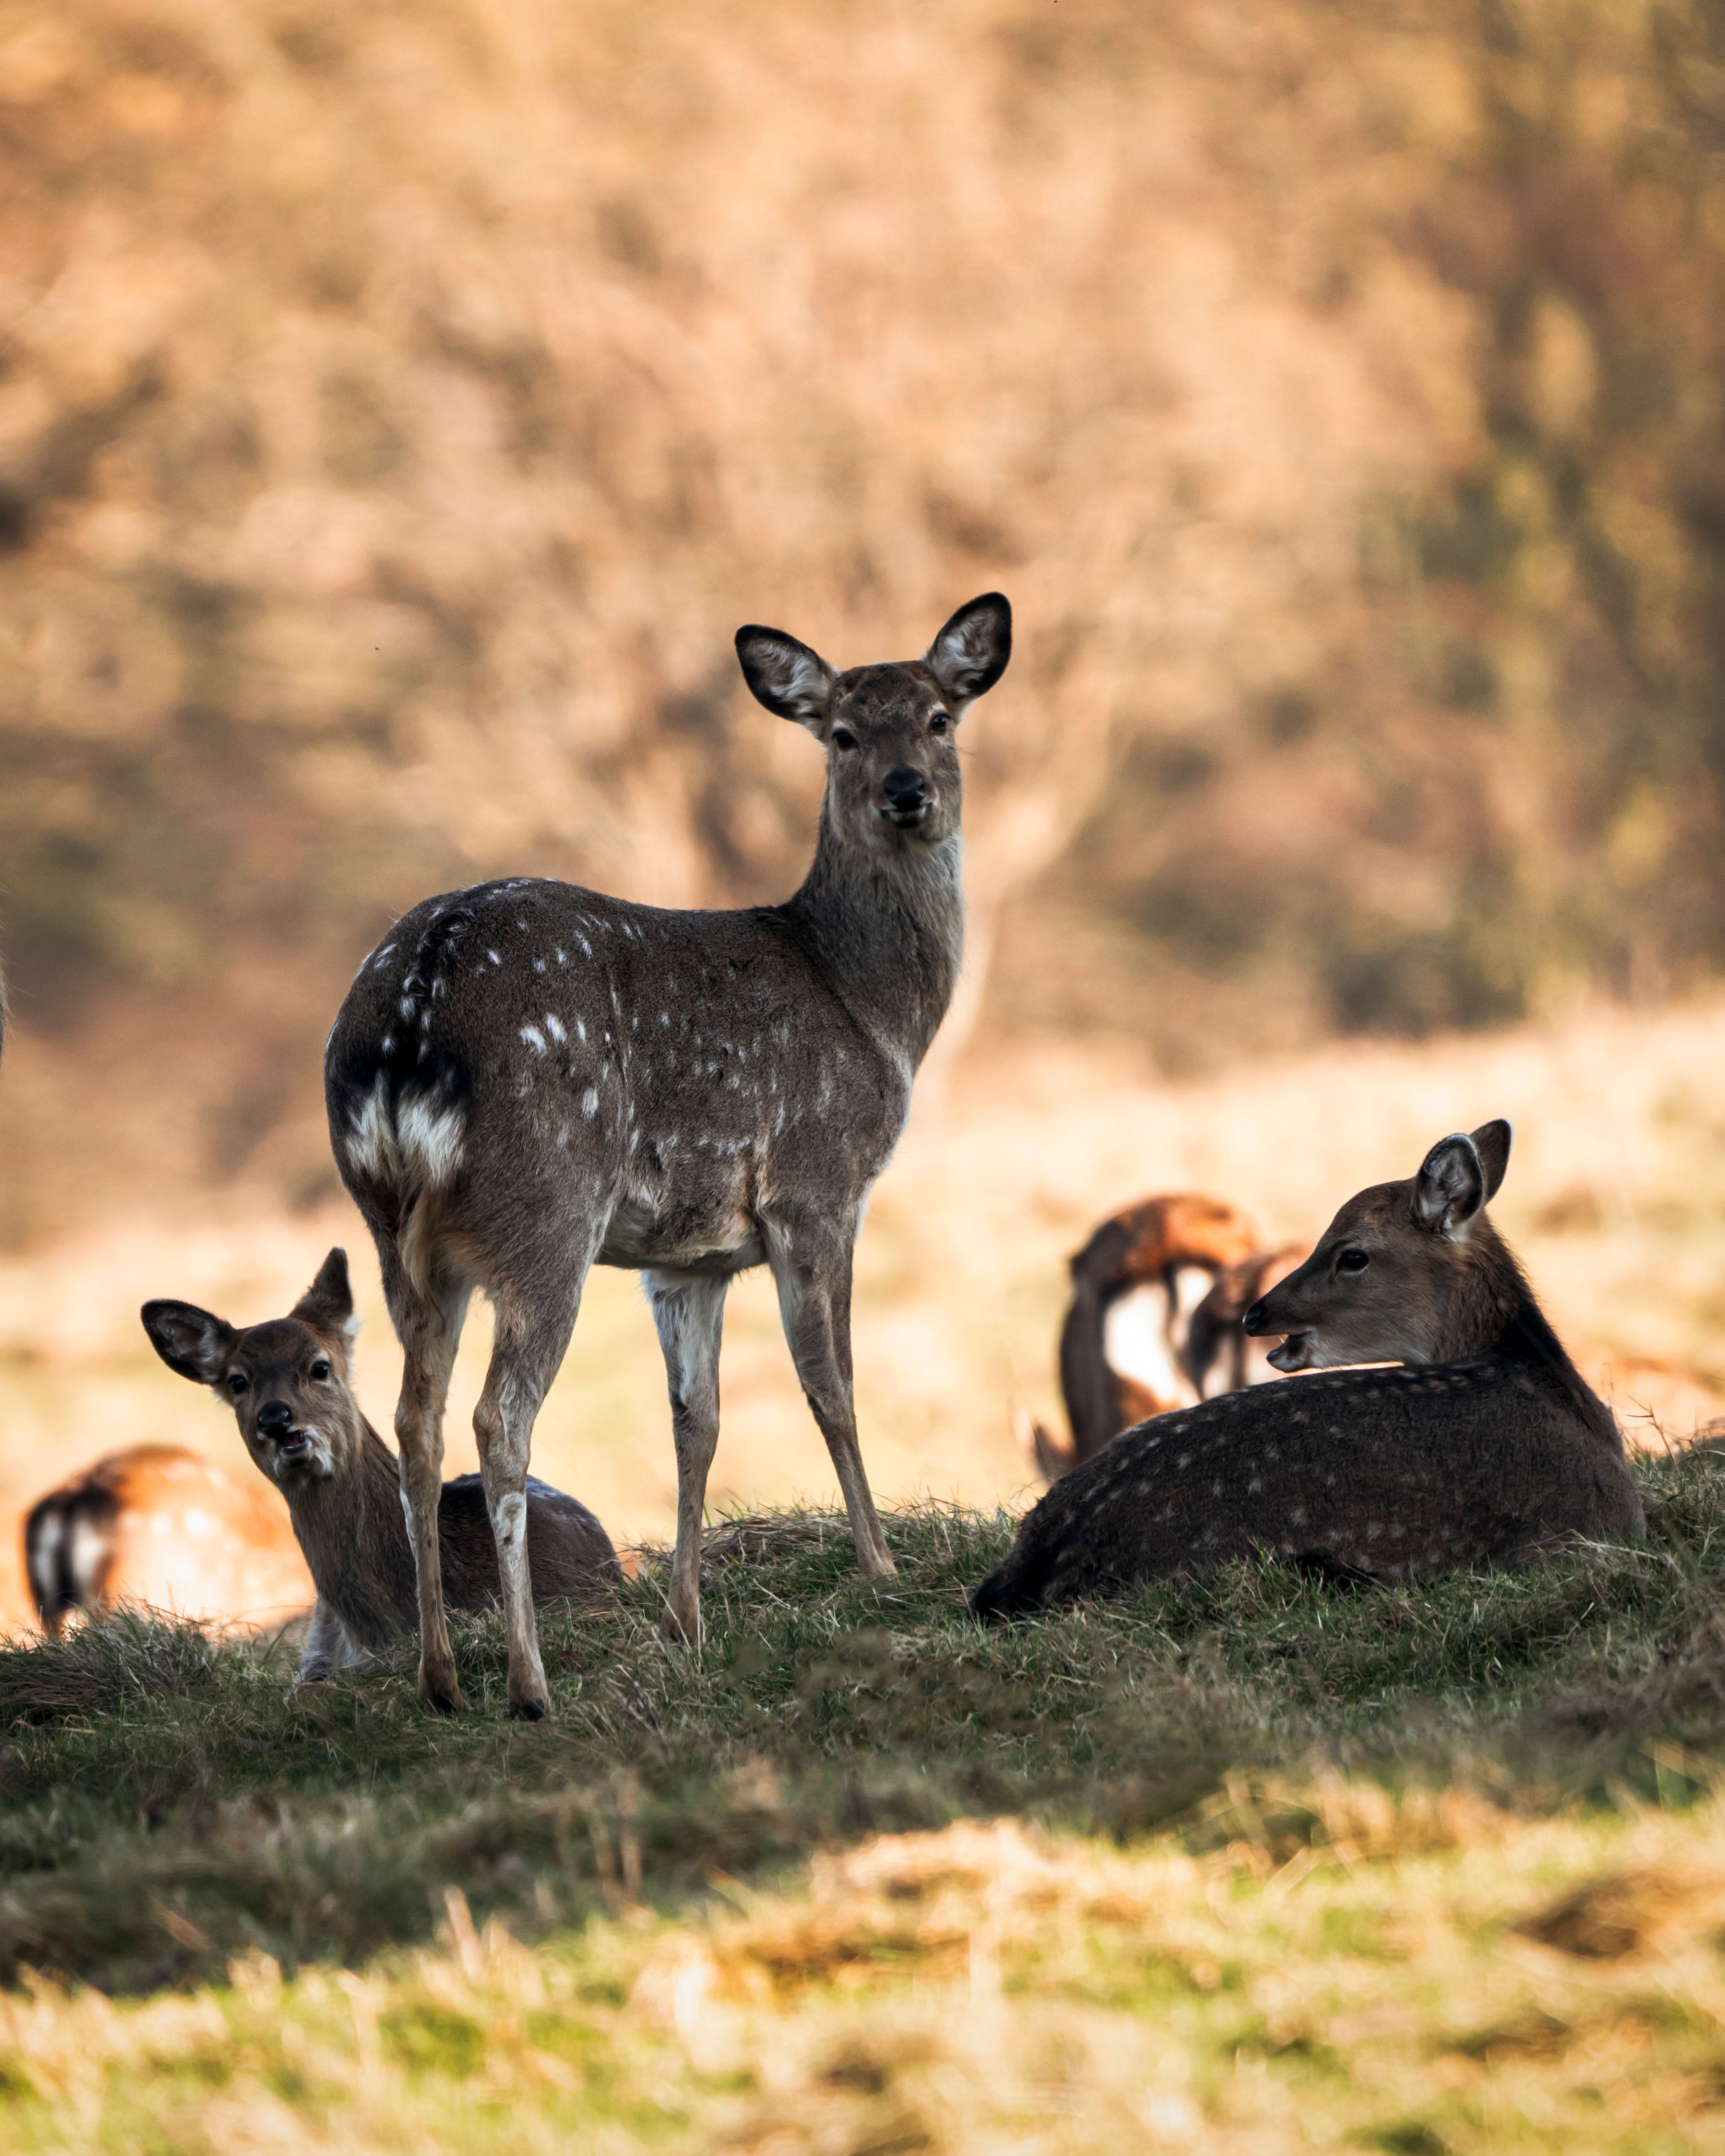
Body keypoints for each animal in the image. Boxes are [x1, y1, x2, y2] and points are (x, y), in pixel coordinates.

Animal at [322, 595, 1013, 1714]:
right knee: (498, 1419)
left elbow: (699, 1420)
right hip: (547, 1207)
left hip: (397, 1236)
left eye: (940, 718)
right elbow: (832, 1380)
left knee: (416, 1418)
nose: (908, 791)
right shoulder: (817, 1183)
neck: (869, 1007)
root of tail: (408, 1021)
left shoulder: (686, 1258)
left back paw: (440, 1675)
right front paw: (880, 1564)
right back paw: (528, 1680)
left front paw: (685, 1621)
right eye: (842, 734)